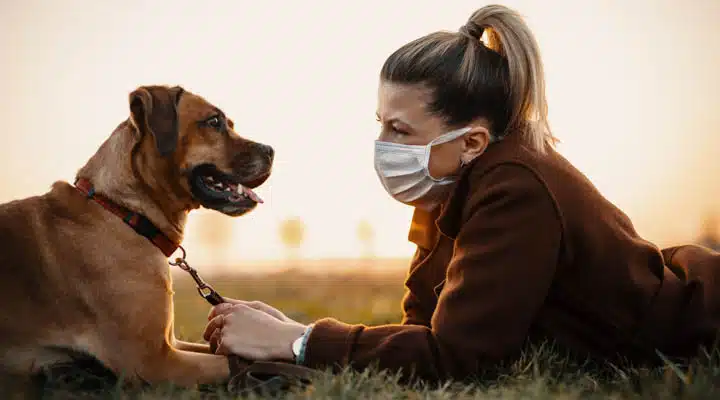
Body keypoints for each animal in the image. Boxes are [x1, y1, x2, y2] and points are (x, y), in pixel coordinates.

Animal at [0, 84, 272, 388]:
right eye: (214, 121)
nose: (271, 151)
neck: (125, 212)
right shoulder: (155, 361)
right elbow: (242, 362)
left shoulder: (172, 343)